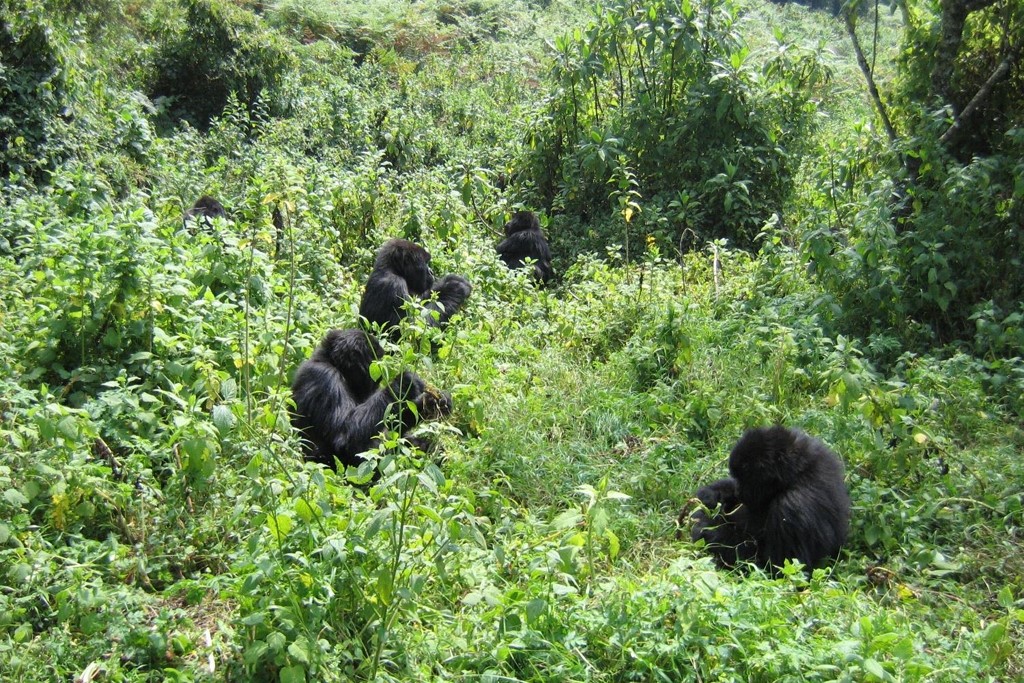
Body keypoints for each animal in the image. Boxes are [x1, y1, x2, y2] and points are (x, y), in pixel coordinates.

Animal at [288, 327, 448, 471]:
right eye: (376, 361)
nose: (381, 376)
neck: (335, 365)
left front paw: (431, 403)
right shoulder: (325, 377)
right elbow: (345, 439)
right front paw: (404, 383)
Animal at [684, 428, 851, 573]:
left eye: (744, 480)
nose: (738, 490)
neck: (797, 474)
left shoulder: (792, 506)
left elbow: (779, 567)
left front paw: (706, 529)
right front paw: (711, 495)